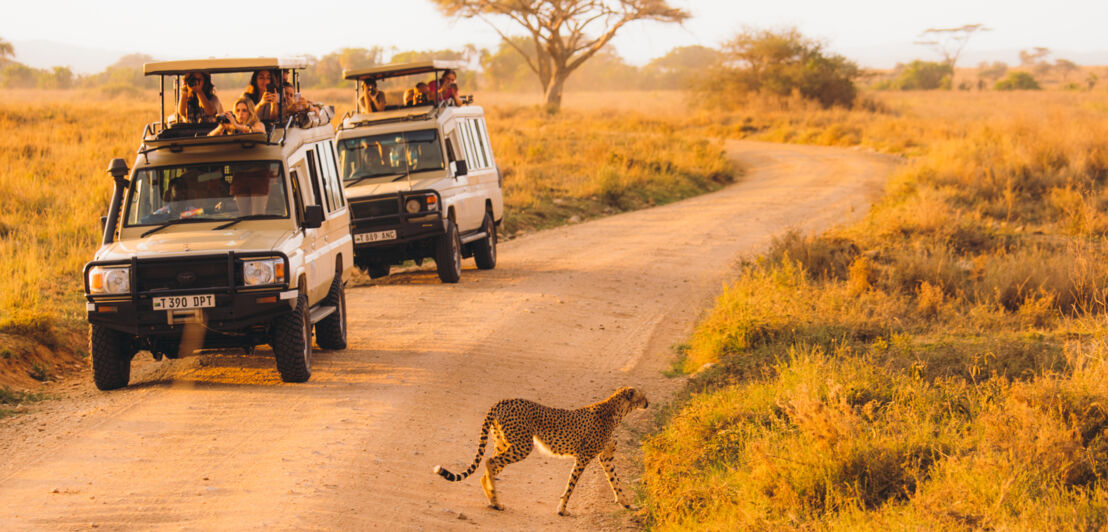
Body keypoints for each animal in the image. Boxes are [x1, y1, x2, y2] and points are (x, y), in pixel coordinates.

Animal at [427, 385, 647, 514]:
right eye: (643, 395)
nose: (648, 402)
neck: (618, 410)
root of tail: (503, 401)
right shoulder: (584, 457)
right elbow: (572, 483)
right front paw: (562, 509)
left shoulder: (605, 457)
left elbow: (616, 481)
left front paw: (628, 504)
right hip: (523, 446)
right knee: (490, 462)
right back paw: (496, 501)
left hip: (505, 443)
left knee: (489, 467)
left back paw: (492, 499)